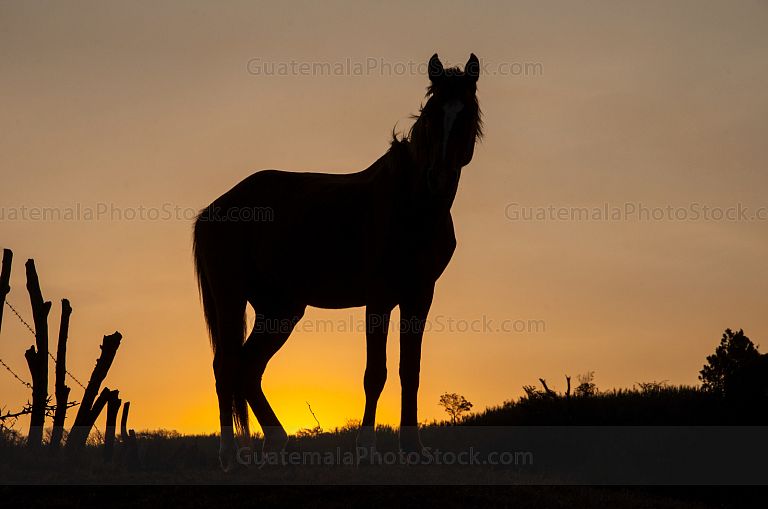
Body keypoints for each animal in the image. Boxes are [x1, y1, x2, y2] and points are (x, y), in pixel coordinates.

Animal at [193, 53, 482, 471]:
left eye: (466, 112)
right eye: (431, 113)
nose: (438, 178)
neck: (411, 205)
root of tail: (213, 209)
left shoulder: (419, 296)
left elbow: (409, 371)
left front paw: (413, 449)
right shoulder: (379, 299)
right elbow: (375, 374)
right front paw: (366, 450)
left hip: (280, 309)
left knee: (248, 368)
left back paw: (277, 445)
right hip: (231, 298)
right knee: (226, 366)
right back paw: (231, 456)